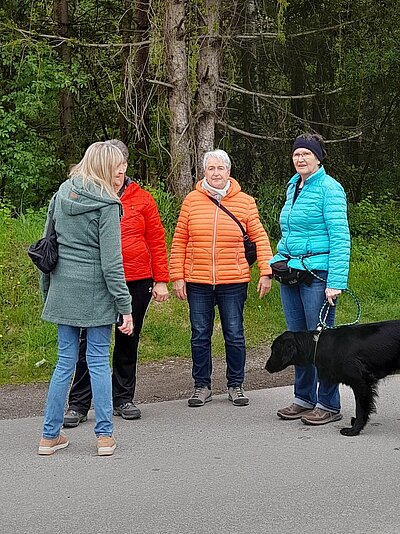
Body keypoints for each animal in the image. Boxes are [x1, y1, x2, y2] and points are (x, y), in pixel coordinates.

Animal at [266, 320, 400, 438]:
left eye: (274, 350)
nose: (266, 367)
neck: (316, 344)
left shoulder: (361, 382)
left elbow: (360, 409)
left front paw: (354, 430)